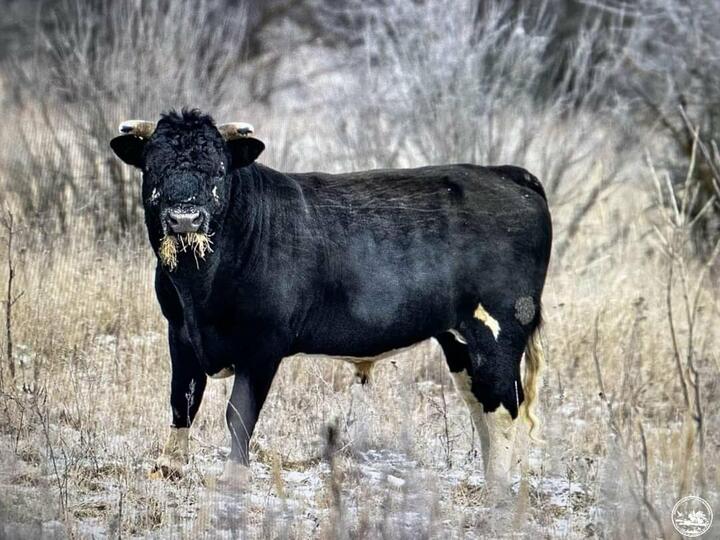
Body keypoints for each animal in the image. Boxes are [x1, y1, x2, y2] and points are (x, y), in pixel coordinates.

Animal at [111, 109, 552, 486]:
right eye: (154, 166)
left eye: (218, 168)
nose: (184, 217)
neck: (199, 288)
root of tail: (506, 174)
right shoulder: (180, 330)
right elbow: (182, 398)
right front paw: (169, 467)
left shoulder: (263, 344)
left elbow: (239, 413)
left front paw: (234, 477)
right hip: (458, 338)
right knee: (479, 402)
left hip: (498, 327)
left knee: (502, 406)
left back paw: (497, 488)